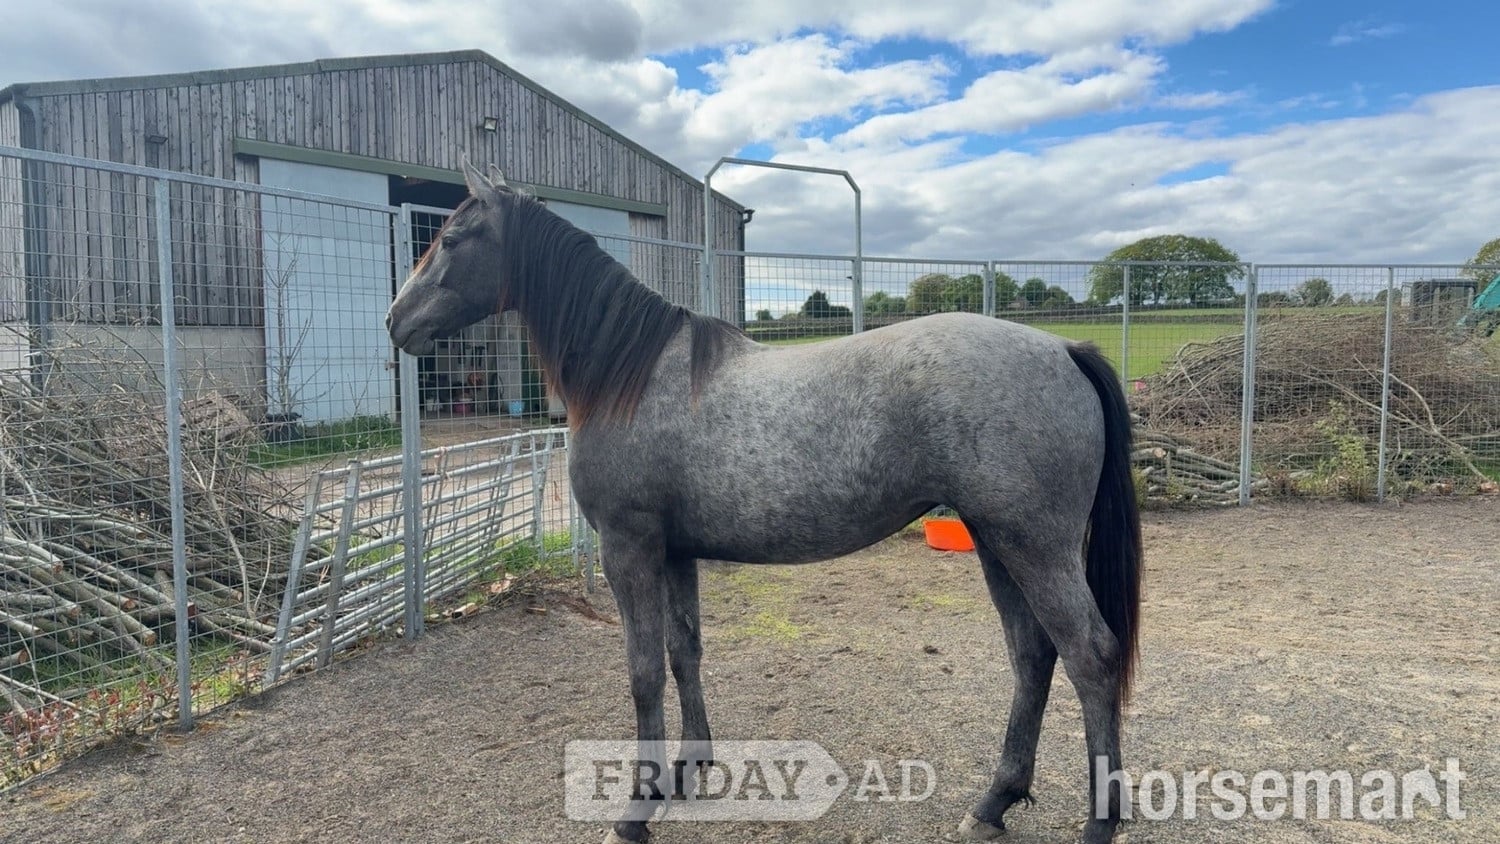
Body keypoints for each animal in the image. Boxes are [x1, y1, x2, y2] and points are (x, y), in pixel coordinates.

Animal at [386, 160, 1143, 844]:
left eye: (452, 238)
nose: (396, 322)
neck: (632, 376)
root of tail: (1064, 349)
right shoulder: (674, 553)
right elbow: (684, 653)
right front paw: (686, 770)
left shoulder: (627, 549)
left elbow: (642, 673)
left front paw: (636, 811)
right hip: (996, 541)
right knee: (1033, 656)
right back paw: (992, 803)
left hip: (1034, 547)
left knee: (1091, 654)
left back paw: (1098, 823)